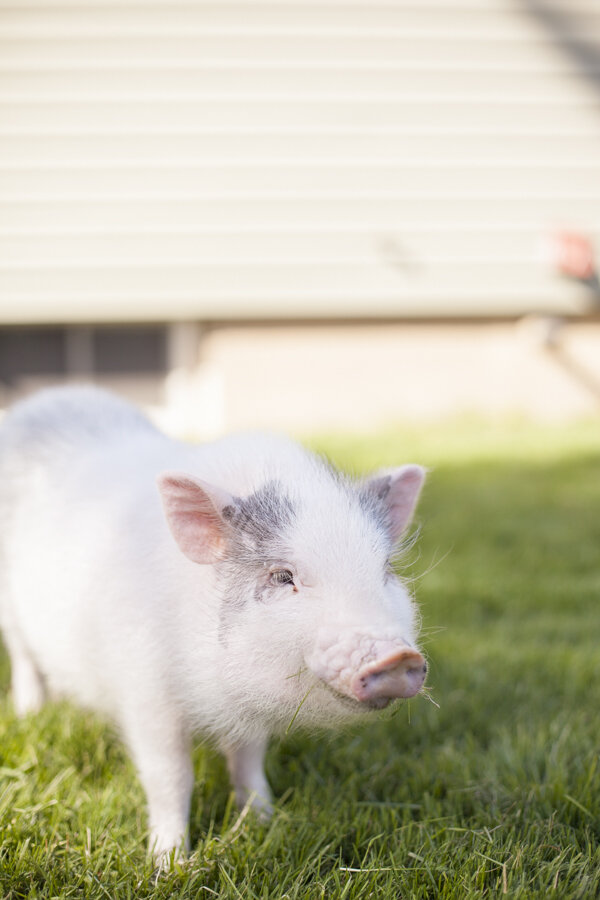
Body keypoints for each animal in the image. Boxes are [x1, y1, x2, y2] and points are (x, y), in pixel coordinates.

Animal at [0, 384, 428, 856]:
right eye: (283, 577)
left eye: (385, 570)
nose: (398, 658)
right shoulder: (146, 691)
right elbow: (170, 777)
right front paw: (169, 861)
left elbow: (248, 760)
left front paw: (263, 823)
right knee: (23, 658)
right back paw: (30, 713)